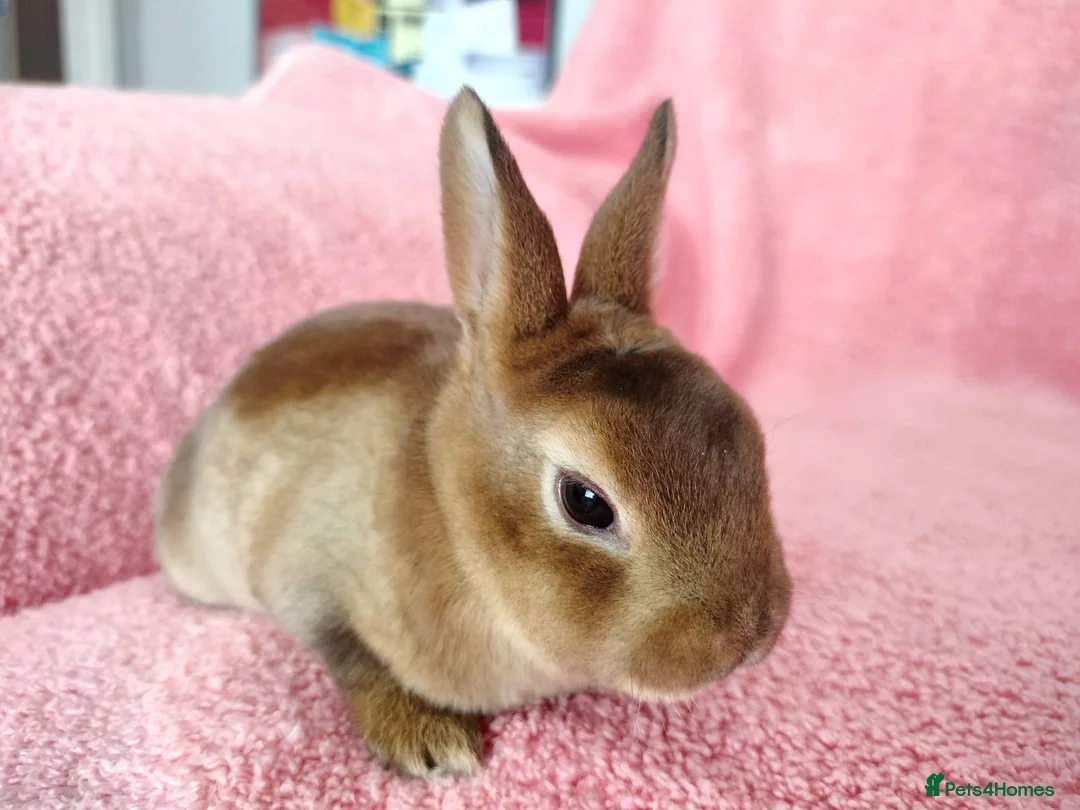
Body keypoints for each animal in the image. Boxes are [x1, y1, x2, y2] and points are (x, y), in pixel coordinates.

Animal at [154, 86, 793, 779]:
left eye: (753, 442)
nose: (749, 637)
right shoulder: (307, 580)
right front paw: (430, 741)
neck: (451, 511)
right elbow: (353, 660)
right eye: (586, 503)